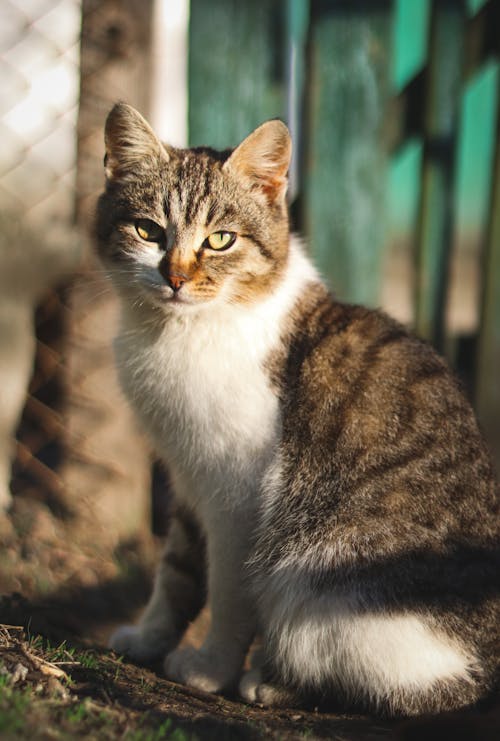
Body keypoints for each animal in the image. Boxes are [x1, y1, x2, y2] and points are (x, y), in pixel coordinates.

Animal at [95, 104, 498, 716]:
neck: (178, 330)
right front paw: (148, 638)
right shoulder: (188, 479)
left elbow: (229, 593)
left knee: (402, 683)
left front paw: (210, 668)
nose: (176, 276)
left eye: (221, 240)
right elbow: (177, 573)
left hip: (317, 573)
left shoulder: (237, 497)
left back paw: (272, 679)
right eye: (148, 231)